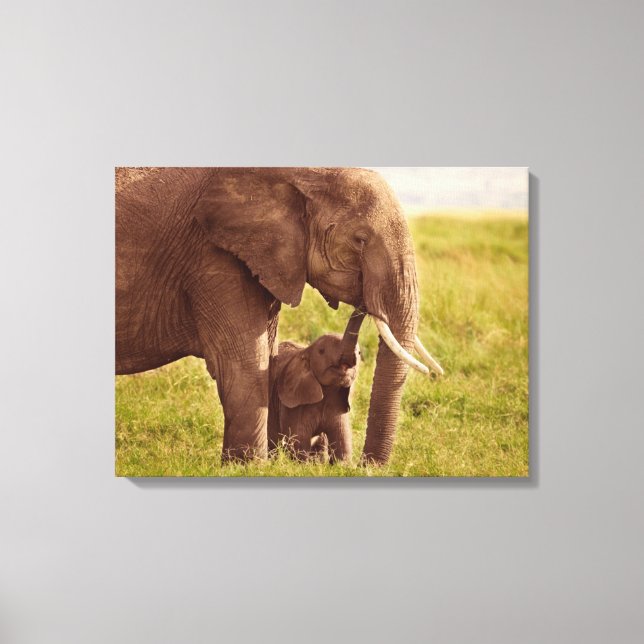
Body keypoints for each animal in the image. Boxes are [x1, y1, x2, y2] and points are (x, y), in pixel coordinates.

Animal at [268, 314, 362, 463]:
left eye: (359, 353)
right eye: (321, 351)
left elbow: (342, 444)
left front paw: (342, 465)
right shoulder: (293, 406)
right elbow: (299, 443)